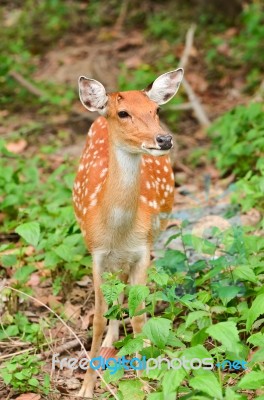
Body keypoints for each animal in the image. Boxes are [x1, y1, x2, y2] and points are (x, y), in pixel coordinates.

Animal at [72, 69, 184, 396]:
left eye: (156, 110)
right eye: (123, 113)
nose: (164, 138)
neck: (117, 230)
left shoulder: (142, 250)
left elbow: (140, 315)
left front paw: (146, 378)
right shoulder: (95, 254)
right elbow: (97, 319)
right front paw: (86, 388)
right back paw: (109, 346)